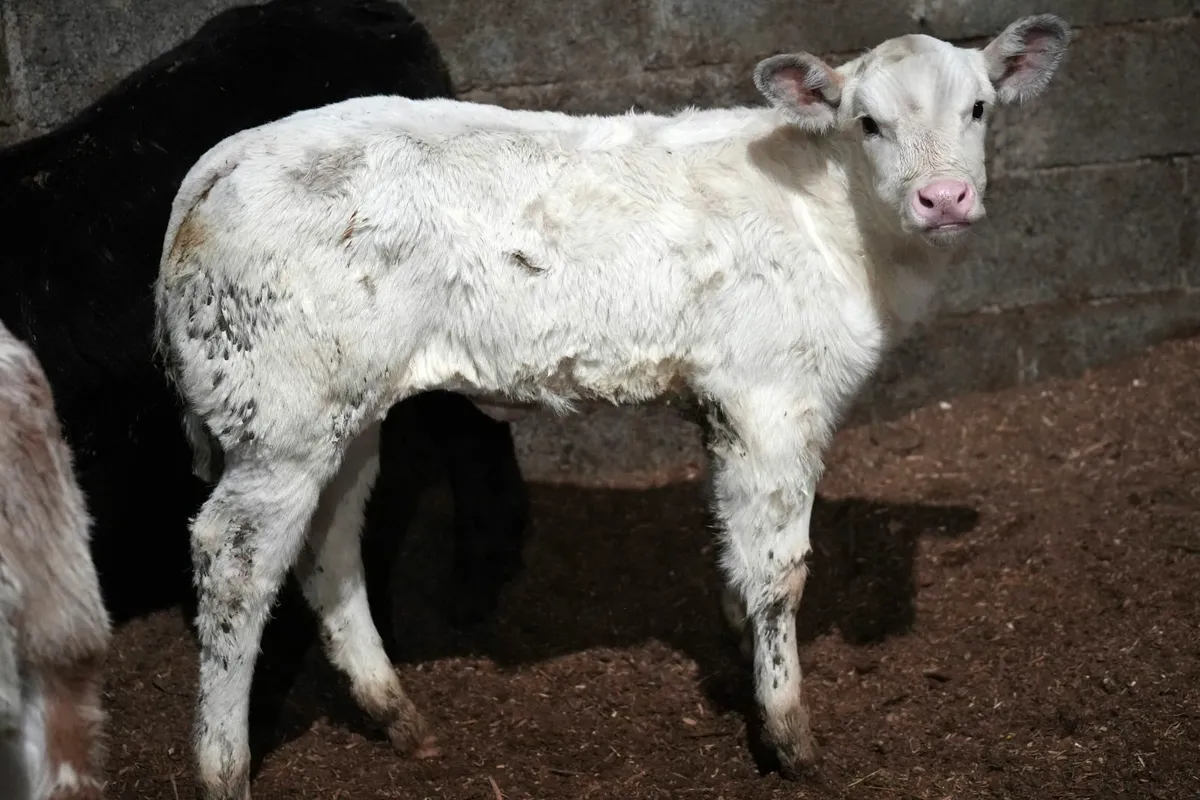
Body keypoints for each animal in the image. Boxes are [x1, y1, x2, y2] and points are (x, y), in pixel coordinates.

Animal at [153, 14, 1071, 798]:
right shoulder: (774, 398)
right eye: (868, 122)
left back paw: (398, 716)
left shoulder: (725, 406)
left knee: (329, 545)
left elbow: (734, 546)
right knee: (233, 560)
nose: (944, 197)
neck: (842, 227)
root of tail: (223, 159)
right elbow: (781, 570)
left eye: (979, 108)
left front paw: (741, 650)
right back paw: (223, 769)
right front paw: (789, 735)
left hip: (343, 410)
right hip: (282, 418)